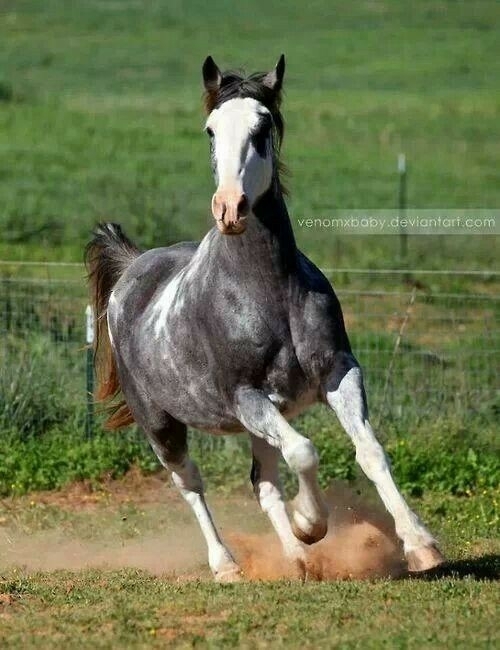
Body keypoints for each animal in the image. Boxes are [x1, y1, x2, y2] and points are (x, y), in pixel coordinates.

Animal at [86, 55, 444, 582]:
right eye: (210, 130)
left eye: (263, 126)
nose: (230, 209)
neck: (269, 294)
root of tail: (130, 269)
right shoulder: (246, 396)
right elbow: (305, 451)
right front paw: (310, 522)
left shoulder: (338, 373)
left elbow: (370, 452)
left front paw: (420, 544)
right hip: (162, 424)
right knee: (192, 485)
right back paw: (229, 565)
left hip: (259, 422)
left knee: (263, 482)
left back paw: (298, 560)